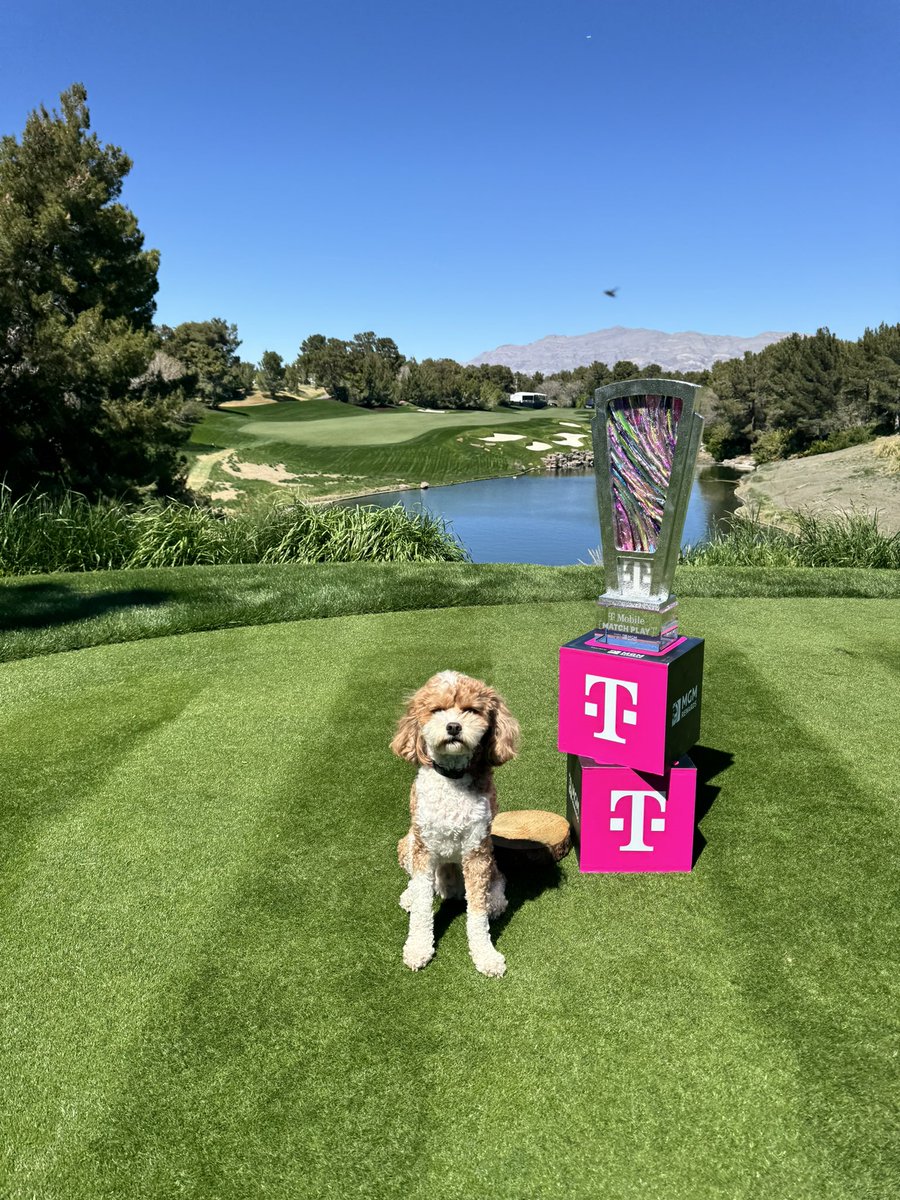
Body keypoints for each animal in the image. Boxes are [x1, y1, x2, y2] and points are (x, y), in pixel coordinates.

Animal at [388, 672, 520, 979]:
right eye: (437, 710)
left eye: (470, 710)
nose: (453, 726)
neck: (451, 778)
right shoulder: (423, 847)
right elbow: (423, 910)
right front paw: (418, 948)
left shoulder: (477, 851)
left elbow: (477, 916)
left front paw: (486, 956)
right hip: (408, 841)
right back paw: (410, 895)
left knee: (498, 880)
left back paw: (495, 900)